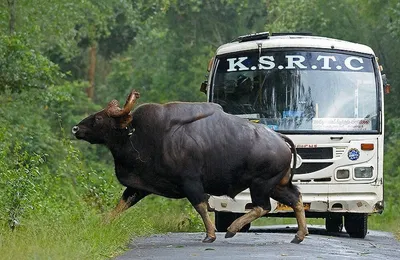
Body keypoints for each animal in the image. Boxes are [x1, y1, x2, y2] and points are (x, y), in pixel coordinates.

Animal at [72, 90, 310, 244]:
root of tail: (280, 139)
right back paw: (299, 235)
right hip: (276, 185)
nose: (76, 128)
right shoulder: (139, 186)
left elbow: (200, 206)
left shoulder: (191, 183)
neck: (138, 135)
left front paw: (210, 235)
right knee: (296, 198)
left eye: (99, 118)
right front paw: (100, 225)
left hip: (260, 184)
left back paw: (232, 229)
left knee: (262, 206)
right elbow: (120, 205)